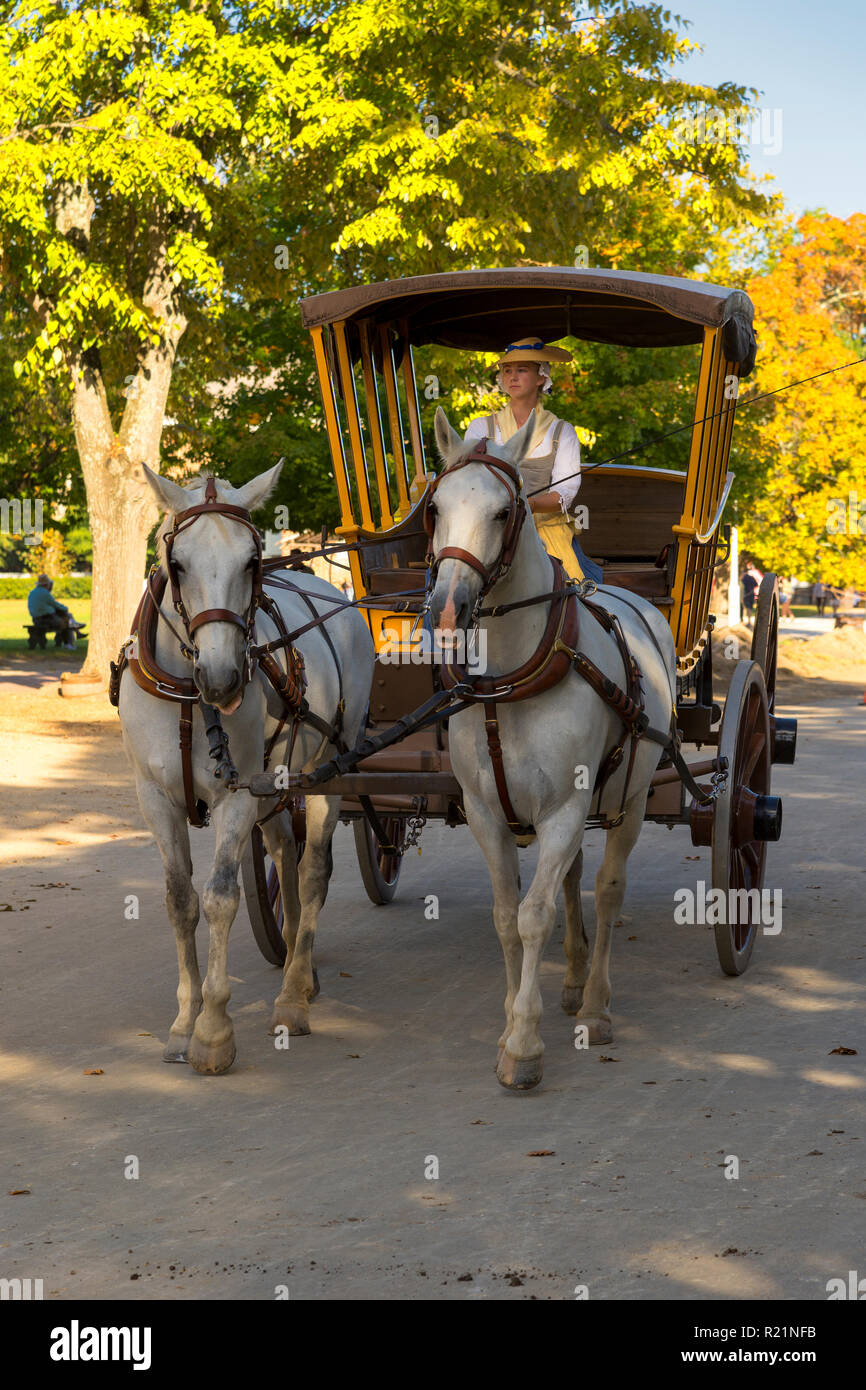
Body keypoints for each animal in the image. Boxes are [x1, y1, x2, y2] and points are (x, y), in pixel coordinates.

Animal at [117, 463, 374, 1074]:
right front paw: (184, 1022)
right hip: (273, 785)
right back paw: (297, 967)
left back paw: (293, 995)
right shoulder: (154, 797)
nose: (223, 680)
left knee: (312, 872)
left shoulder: (234, 797)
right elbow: (180, 900)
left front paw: (213, 1030)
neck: (190, 700)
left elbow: (219, 898)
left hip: (329, 769)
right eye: (178, 565)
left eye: (252, 562)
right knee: (285, 854)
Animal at [428, 408, 677, 1091]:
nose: (446, 611)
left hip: (631, 799)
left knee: (608, 888)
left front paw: (523, 1043)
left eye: (502, 512)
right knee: (570, 881)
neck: (510, 680)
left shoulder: (567, 807)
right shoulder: (486, 813)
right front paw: (511, 1022)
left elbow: (534, 913)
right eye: (434, 508)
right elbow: (506, 915)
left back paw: (595, 1004)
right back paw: (571, 979)